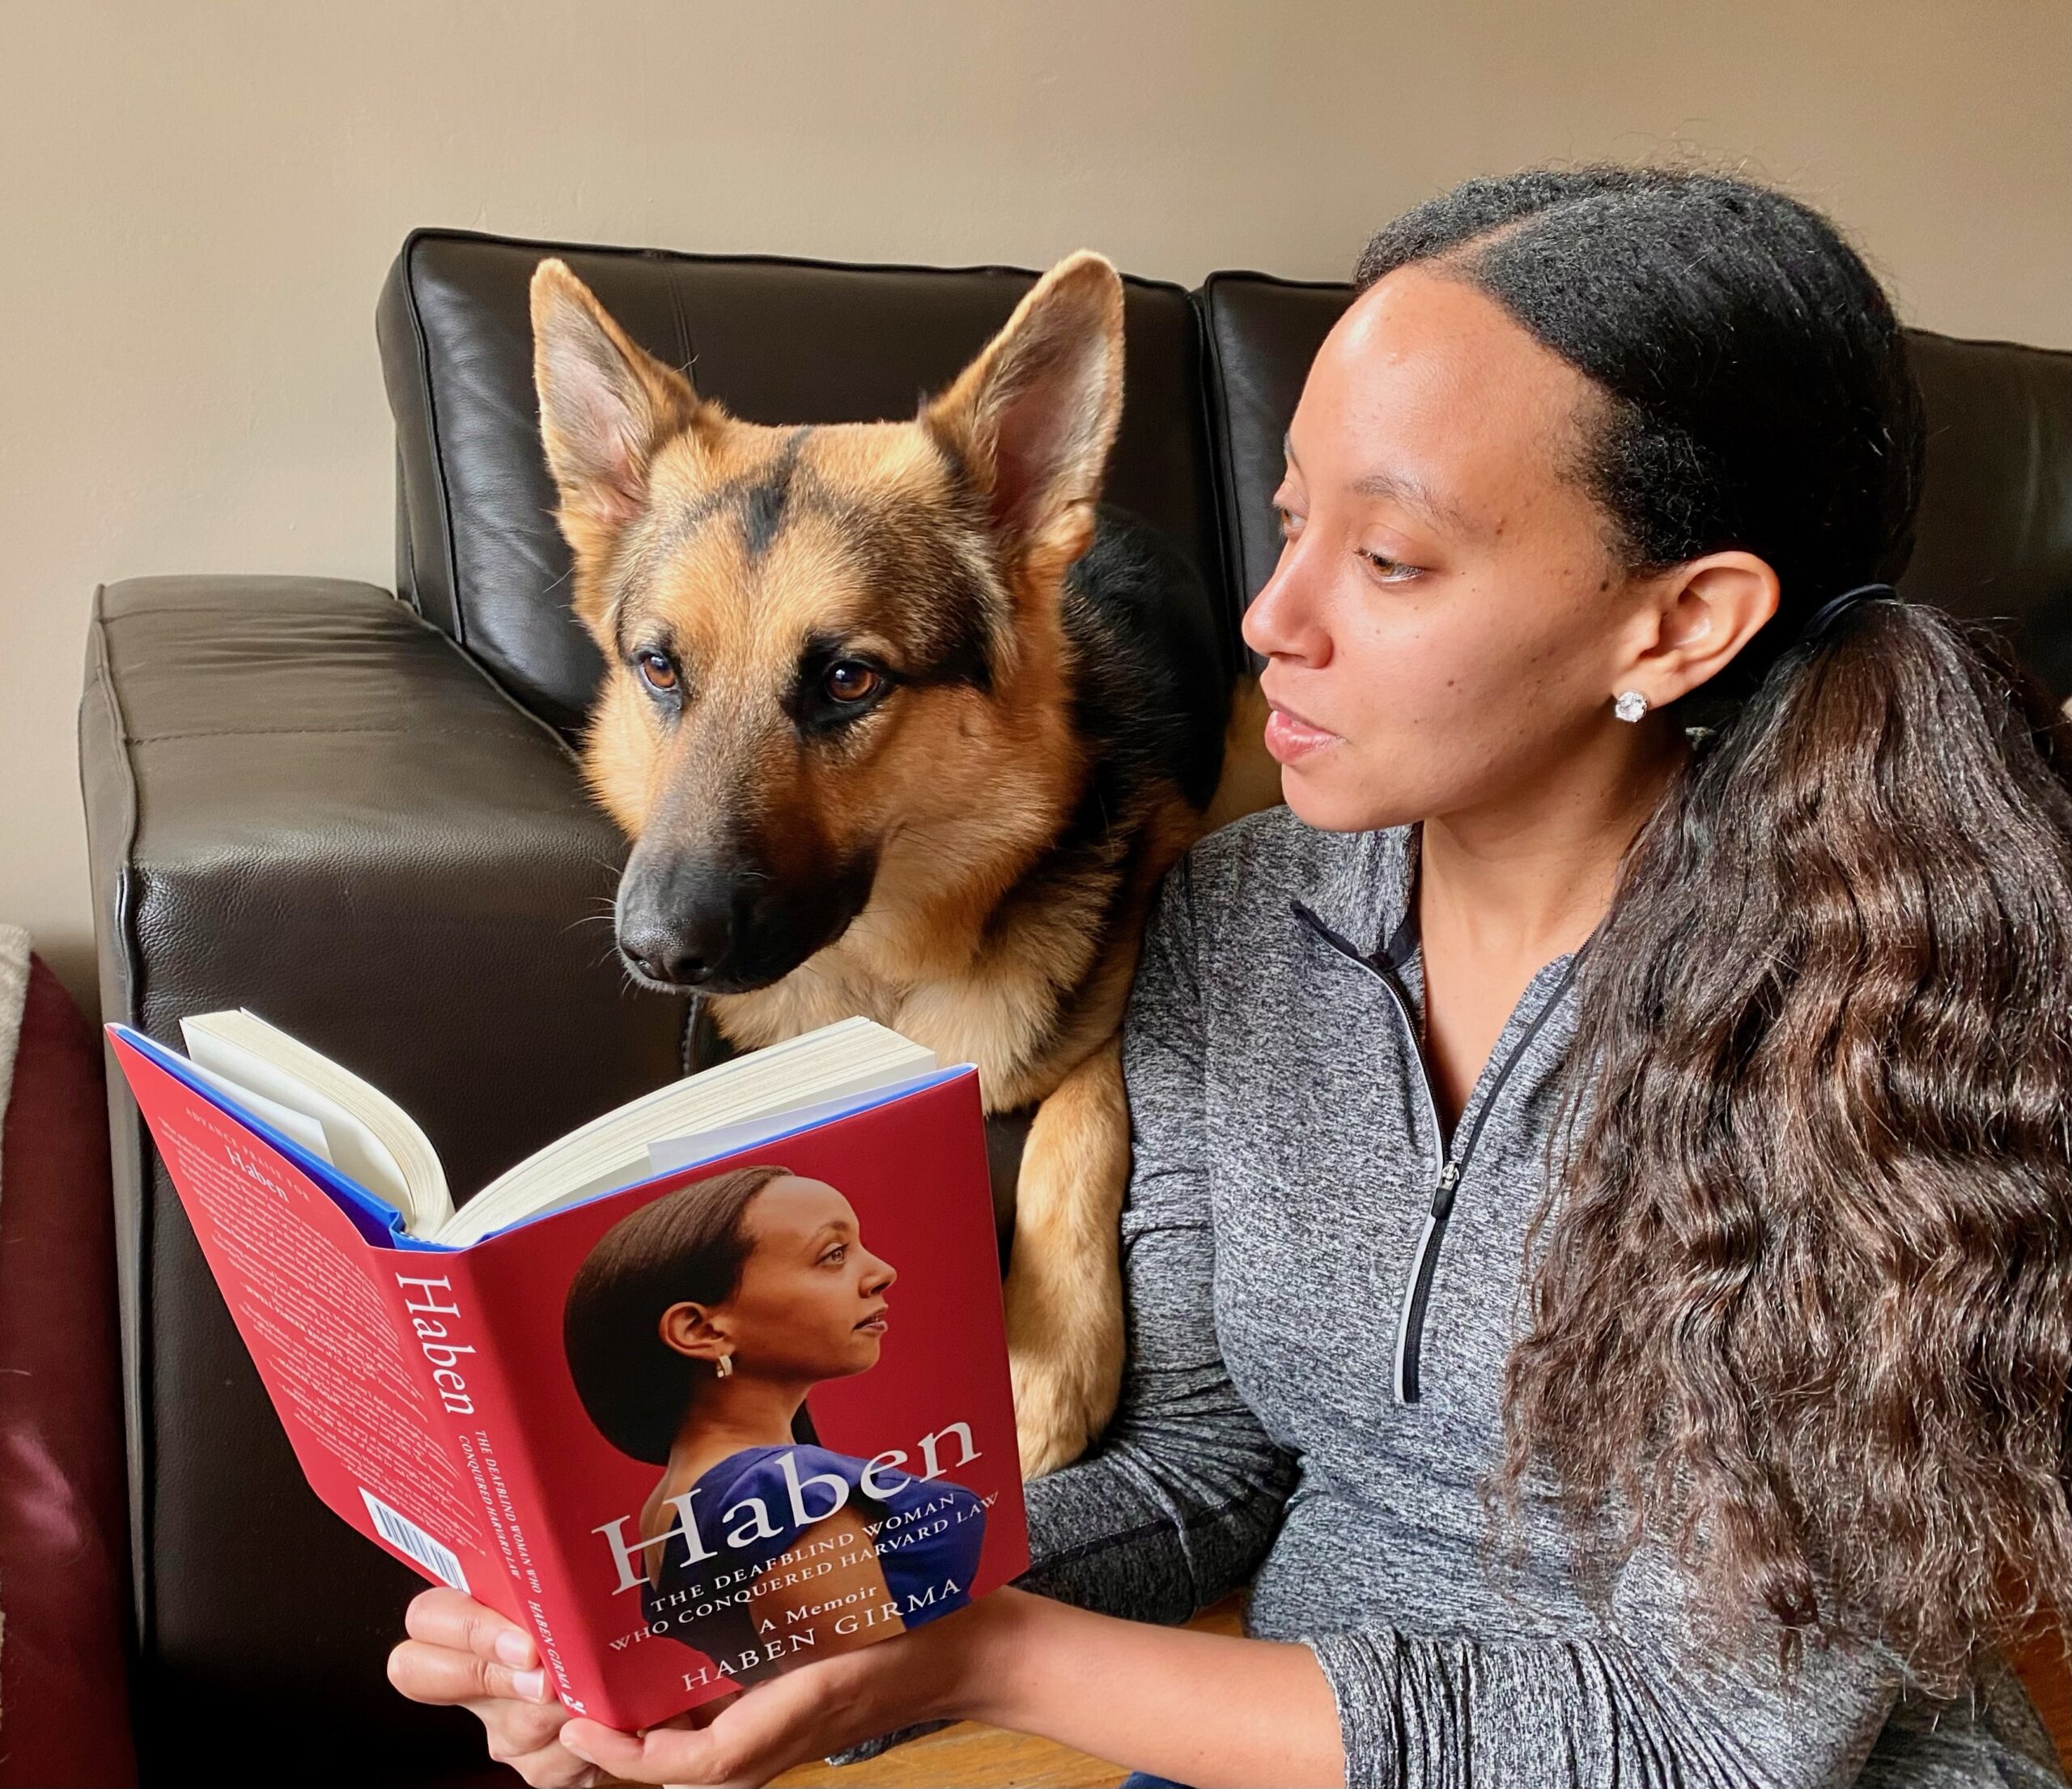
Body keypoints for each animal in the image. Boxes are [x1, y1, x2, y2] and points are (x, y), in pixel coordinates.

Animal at [534, 254, 1276, 1484]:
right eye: (659, 668)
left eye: (847, 679)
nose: (657, 951)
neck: (889, 970)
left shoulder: (1122, 1006)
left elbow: (1078, 1127)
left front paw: (1045, 1362)